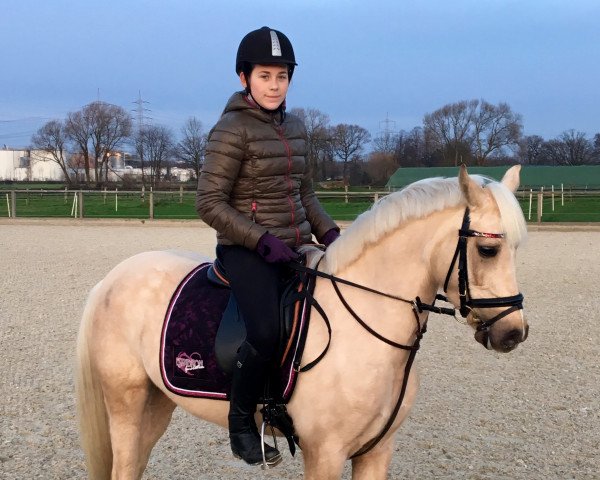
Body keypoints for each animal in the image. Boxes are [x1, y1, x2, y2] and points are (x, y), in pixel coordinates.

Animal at [76, 166, 528, 480]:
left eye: (516, 249)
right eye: (488, 251)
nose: (513, 333)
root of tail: (110, 279)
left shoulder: (376, 452)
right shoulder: (324, 454)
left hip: (155, 406)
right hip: (127, 404)